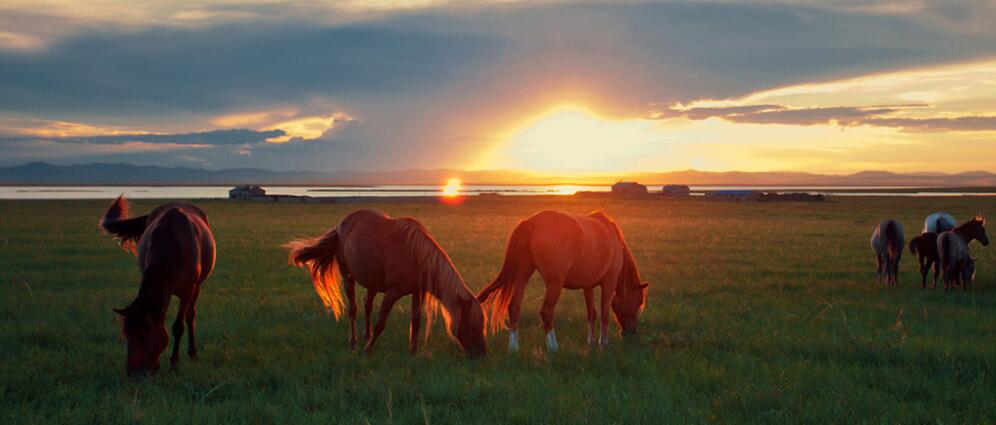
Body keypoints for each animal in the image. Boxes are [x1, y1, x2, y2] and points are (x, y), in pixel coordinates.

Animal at [100, 195, 215, 374]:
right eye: (126, 335)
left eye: (142, 335)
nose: (135, 373)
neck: (173, 247)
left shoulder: (187, 291)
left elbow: (178, 326)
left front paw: (174, 362)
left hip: (197, 287)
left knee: (190, 316)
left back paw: (193, 353)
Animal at [284, 207, 486, 356]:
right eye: (471, 323)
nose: (481, 354)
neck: (415, 254)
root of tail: (341, 225)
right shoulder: (392, 293)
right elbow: (380, 323)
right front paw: (367, 351)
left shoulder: (417, 293)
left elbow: (416, 322)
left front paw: (412, 352)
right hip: (348, 276)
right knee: (353, 309)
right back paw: (354, 343)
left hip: (372, 282)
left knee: (367, 305)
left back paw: (366, 336)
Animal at [476, 210, 648, 352]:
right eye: (639, 301)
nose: (630, 332)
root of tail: (531, 223)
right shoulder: (609, 283)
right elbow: (604, 315)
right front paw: (603, 344)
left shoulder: (588, 286)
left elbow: (591, 314)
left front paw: (591, 342)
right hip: (555, 284)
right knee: (546, 312)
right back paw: (553, 347)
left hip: (522, 275)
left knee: (515, 307)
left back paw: (513, 348)